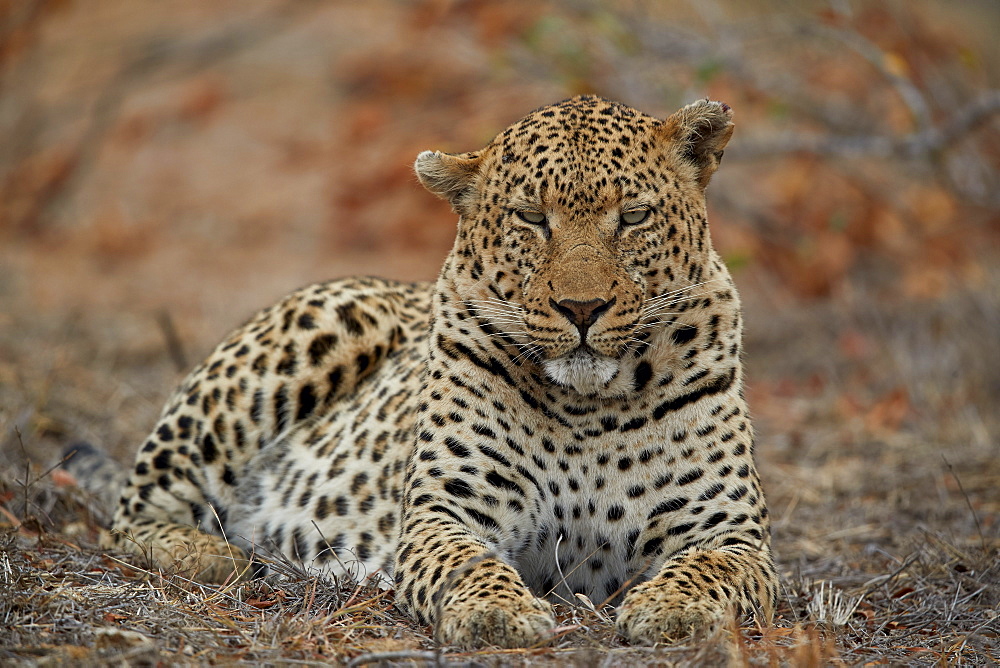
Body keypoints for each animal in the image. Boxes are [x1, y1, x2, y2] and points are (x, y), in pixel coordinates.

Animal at [78, 95, 780, 648]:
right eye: (531, 218)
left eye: (633, 217)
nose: (581, 308)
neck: (589, 407)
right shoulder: (447, 514)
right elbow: (469, 566)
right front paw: (497, 615)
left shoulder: (729, 532)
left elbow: (708, 571)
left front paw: (672, 609)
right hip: (311, 337)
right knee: (132, 513)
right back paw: (217, 554)